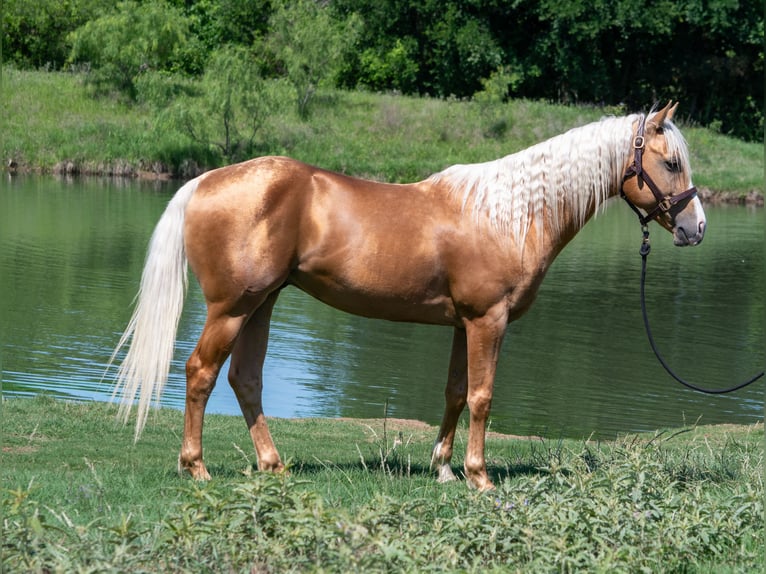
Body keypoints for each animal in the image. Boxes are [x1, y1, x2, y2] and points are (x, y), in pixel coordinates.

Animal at [110, 101, 705, 491]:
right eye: (671, 163)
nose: (695, 228)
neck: (510, 214)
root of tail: (203, 179)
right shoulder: (488, 320)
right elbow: (483, 397)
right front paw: (480, 478)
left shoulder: (464, 324)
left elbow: (456, 394)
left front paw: (444, 468)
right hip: (232, 308)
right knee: (201, 374)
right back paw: (196, 467)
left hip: (263, 303)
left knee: (244, 379)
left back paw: (272, 465)